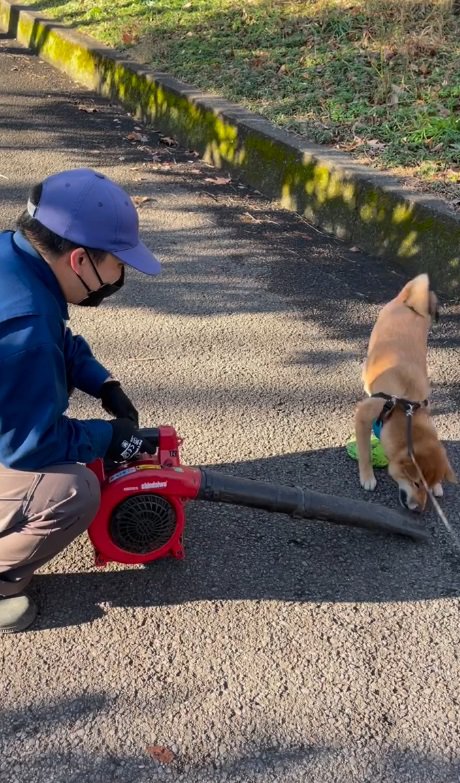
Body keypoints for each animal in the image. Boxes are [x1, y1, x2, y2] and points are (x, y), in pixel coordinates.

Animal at [354, 272, 454, 512]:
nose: (419, 510)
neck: (405, 405)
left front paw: (439, 487)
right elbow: (364, 453)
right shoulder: (363, 415)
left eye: (428, 487)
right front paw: (367, 476)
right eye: (416, 483)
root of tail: (408, 303)